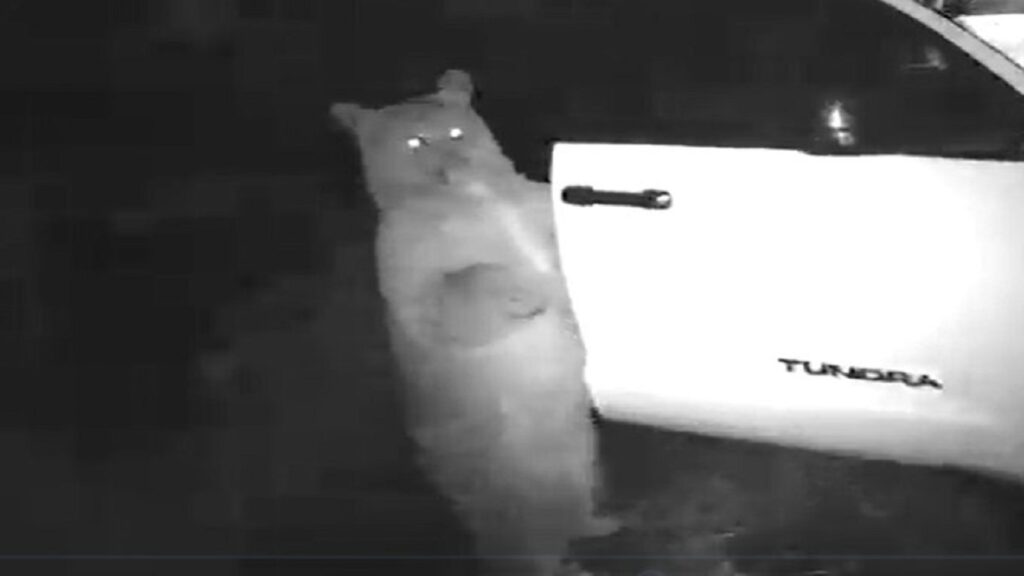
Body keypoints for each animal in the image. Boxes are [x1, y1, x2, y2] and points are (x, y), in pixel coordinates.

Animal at [330, 70, 621, 575]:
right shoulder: (415, 276)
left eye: (456, 132)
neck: (474, 199)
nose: (455, 163)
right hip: (505, 492)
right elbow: (465, 286)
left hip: (578, 465)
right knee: (527, 548)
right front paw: (530, 288)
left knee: (574, 509)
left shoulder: (533, 206)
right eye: (415, 141)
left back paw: (600, 525)